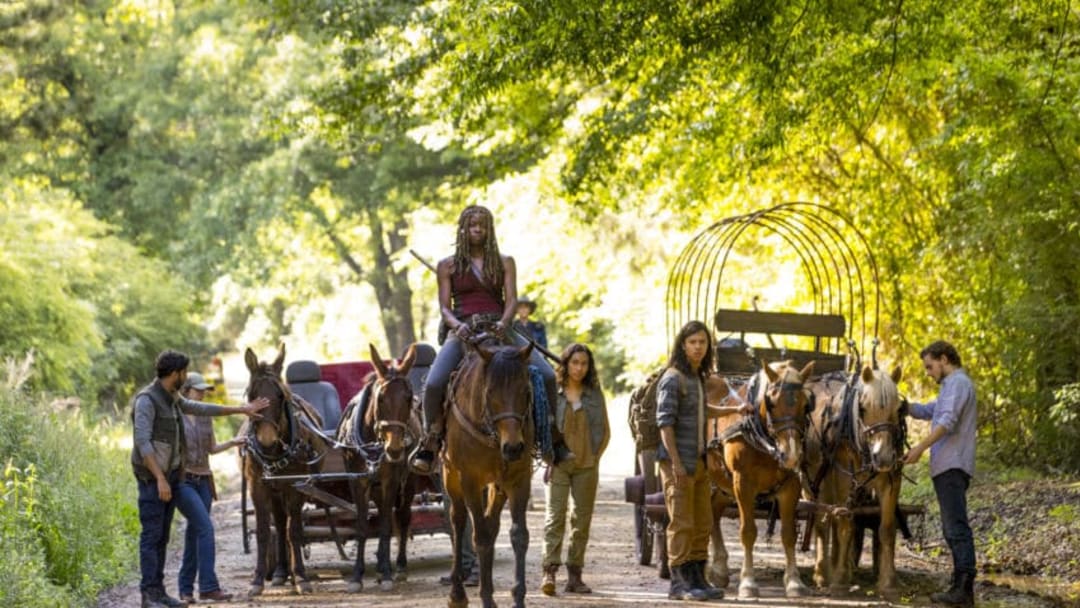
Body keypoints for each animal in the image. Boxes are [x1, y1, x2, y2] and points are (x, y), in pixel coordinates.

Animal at [243, 345, 326, 596]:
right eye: (252, 395)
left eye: (280, 396)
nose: (267, 441)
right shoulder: (258, 486)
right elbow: (263, 532)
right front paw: (257, 580)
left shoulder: (295, 487)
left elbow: (295, 531)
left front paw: (300, 577)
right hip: (274, 491)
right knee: (279, 526)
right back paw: (280, 572)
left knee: (287, 526)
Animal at [336, 345, 421, 591]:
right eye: (380, 398)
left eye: (409, 398)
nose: (394, 448)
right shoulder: (357, 481)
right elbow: (362, 526)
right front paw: (357, 575)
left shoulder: (390, 481)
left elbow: (384, 526)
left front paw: (387, 574)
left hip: (408, 481)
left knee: (402, 517)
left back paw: (397, 567)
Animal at [442, 334, 535, 608]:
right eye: (490, 392)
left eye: (526, 391)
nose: (513, 447)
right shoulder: (470, 480)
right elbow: (480, 536)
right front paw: (485, 598)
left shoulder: (518, 479)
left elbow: (519, 535)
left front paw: (518, 597)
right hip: (451, 476)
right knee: (459, 520)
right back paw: (457, 594)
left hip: (497, 484)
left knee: (492, 524)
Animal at [704, 360, 812, 600]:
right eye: (770, 402)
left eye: (806, 404)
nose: (791, 454)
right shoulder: (743, 483)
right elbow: (748, 532)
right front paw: (748, 583)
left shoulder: (791, 484)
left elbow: (788, 534)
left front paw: (794, 581)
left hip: (722, 483)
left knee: (713, 512)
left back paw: (718, 569)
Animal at [807, 365, 907, 596]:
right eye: (862, 408)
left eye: (899, 409)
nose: (883, 457)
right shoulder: (844, 478)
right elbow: (846, 526)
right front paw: (840, 580)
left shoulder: (890, 480)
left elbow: (887, 529)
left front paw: (888, 582)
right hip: (816, 480)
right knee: (821, 522)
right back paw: (822, 574)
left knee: (831, 517)